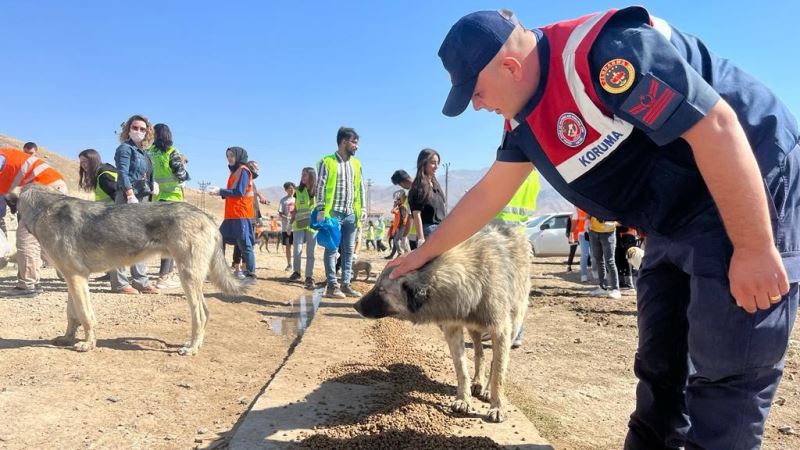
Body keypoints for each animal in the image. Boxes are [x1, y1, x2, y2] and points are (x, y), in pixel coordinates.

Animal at [18, 183, 250, 356]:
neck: (44, 209)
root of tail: (207, 217)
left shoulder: (77, 278)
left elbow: (86, 316)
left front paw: (88, 344)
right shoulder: (72, 280)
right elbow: (72, 315)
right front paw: (68, 338)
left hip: (188, 278)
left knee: (200, 315)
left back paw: (191, 348)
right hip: (192, 279)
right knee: (206, 312)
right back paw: (196, 344)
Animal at [352, 225, 528, 422]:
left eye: (381, 290)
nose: (355, 305)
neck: (473, 280)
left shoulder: (501, 330)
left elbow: (498, 372)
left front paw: (497, 406)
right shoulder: (453, 328)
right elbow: (461, 368)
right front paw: (463, 399)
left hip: (513, 324)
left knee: (495, 361)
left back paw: (487, 389)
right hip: (474, 328)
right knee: (479, 353)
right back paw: (477, 382)